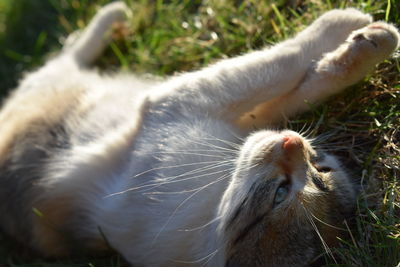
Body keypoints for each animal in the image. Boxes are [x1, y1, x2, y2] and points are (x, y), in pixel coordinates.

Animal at [0, 2, 398, 267]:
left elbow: (295, 78)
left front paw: (356, 41)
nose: (293, 142)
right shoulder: (185, 104)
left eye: (317, 173)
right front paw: (357, 29)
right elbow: (286, 67)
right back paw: (114, 17)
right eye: (283, 191)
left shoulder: (208, 111)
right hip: (49, 83)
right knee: (63, 54)